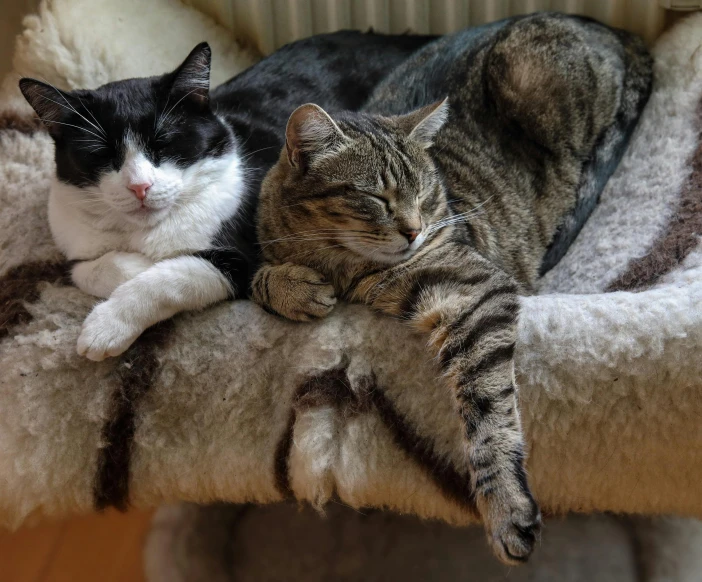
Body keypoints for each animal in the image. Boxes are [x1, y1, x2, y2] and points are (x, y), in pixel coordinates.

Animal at [19, 32, 434, 362]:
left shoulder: (242, 253)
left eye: (164, 143)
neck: (146, 230)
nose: (140, 187)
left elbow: (176, 275)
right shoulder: (72, 237)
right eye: (101, 154)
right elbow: (86, 269)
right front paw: (135, 267)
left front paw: (106, 326)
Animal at [253, 13, 656, 568]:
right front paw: (294, 287)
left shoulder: (473, 293)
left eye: (426, 193)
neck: (340, 264)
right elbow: (259, 277)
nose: (414, 230)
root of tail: (607, 27)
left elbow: (488, 412)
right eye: (376, 198)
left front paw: (505, 504)